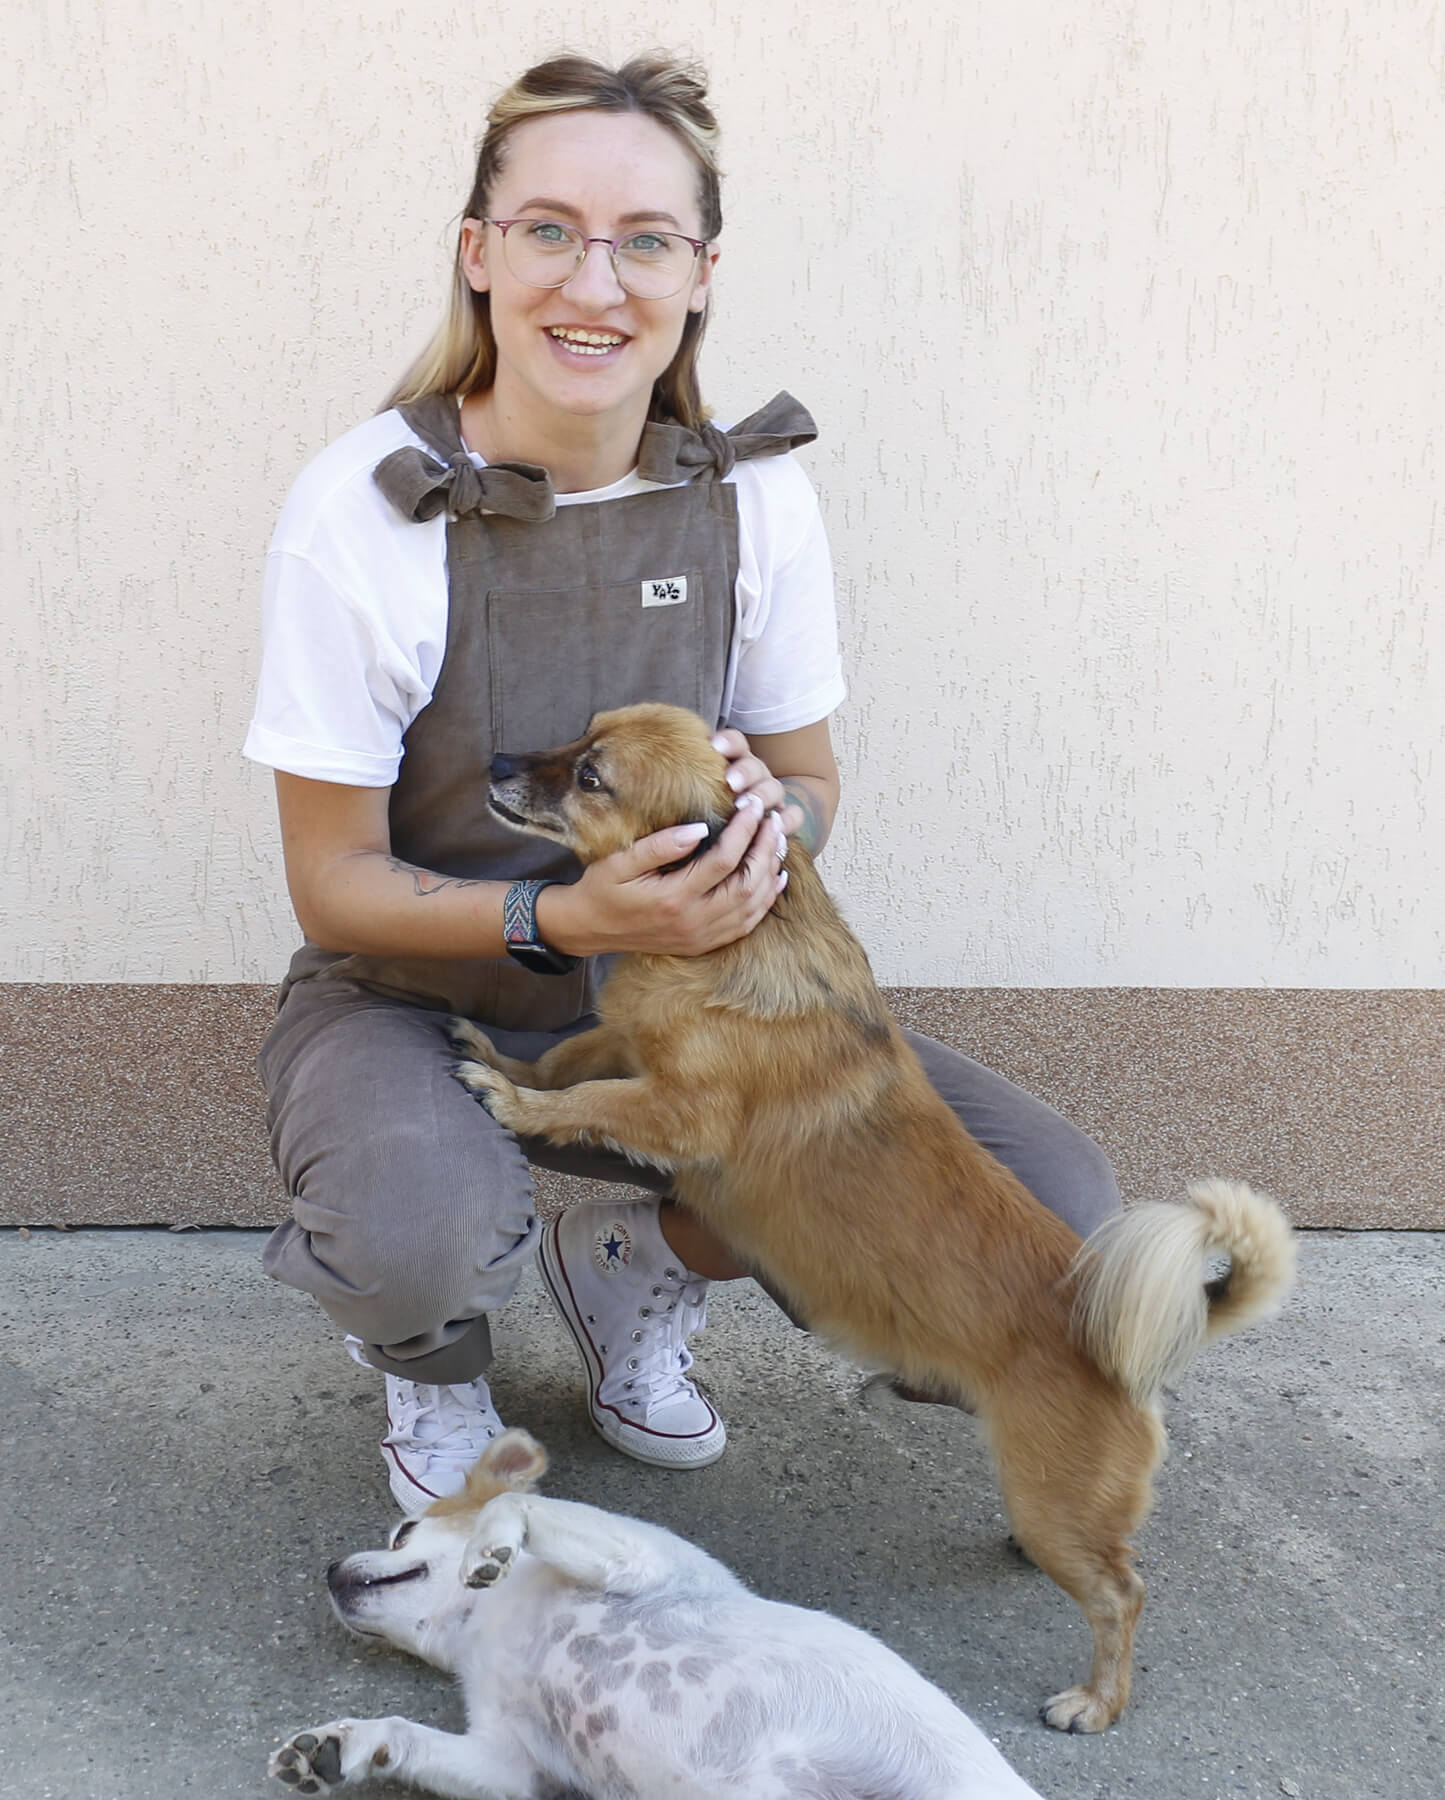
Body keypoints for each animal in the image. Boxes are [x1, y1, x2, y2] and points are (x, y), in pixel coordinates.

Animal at [271, 1432, 1043, 1800]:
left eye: (403, 1533)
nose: (328, 1571)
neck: (489, 1630)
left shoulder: (636, 1556)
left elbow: (518, 1505)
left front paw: (491, 1544)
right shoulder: (511, 1762)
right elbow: (406, 1736)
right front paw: (342, 1745)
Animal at [446, 698, 1295, 1728]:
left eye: (591, 777)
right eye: (580, 734)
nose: (494, 758)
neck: (729, 947)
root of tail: (1128, 1343)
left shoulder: (673, 1109)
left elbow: (580, 1099)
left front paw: (511, 1100)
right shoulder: (622, 1042)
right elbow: (568, 1062)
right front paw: (502, 1058)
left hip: (1054, 1508)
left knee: (1120, 1594)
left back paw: (1096, 1701)